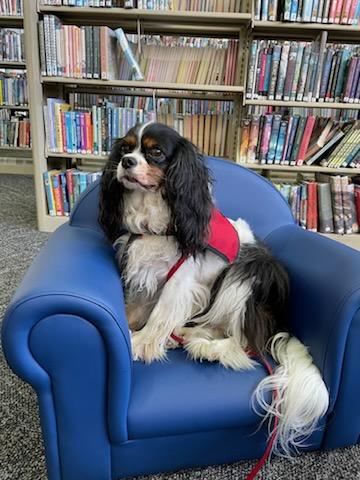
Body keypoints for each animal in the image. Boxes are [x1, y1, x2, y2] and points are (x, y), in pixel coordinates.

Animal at [98, 122, 330, 456]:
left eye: (156, 152)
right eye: (126, 149)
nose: (127, 162)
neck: (159, 219)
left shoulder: (181, 280)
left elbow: (159, 316)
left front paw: (140, 343)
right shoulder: (150, 274)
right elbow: (140, 309)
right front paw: (133, 329)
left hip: (244, 274)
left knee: (247, 342)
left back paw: (207, 348)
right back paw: (187, 335)